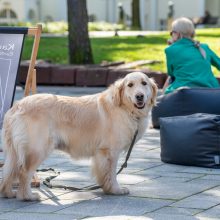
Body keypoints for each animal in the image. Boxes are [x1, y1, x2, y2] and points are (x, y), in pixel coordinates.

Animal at [0, 71, 158, 200]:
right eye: (130, 85)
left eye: (144, 83)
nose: (139, 96)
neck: (126, 109)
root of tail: (17, 106)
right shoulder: (110, 151)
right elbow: (112, 173)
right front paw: (115, 190)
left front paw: (106, 189)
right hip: (38, 149)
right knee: (24, 172)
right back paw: (28, 196)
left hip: (15, 151)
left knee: (9, 172)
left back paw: (9, 193)